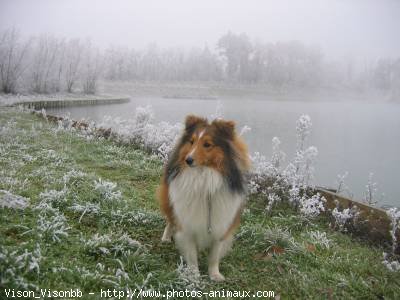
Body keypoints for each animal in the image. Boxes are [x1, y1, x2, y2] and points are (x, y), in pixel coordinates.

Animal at [157, 113, 248, 280]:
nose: (188, 160)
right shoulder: (188, 225)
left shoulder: (220, 226)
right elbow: (192, 254)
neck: (203, 179)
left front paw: (215, 275)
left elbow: (214, 255)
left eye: (207, 144)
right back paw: (166, 238)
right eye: (192, 141)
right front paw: (194, 275)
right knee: (170, 220)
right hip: (169, 201)